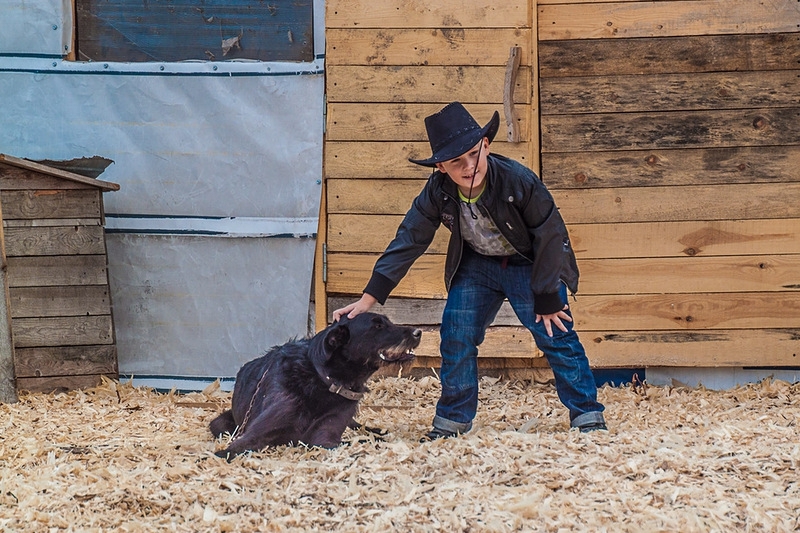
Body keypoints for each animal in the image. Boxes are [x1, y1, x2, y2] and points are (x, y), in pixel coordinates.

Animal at [209, 312, 422, 458]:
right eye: (377, 326)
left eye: (388, 322)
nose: (418, 332)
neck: (323, 380)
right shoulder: (254, 433)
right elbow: (234, 448)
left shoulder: (325, 437)